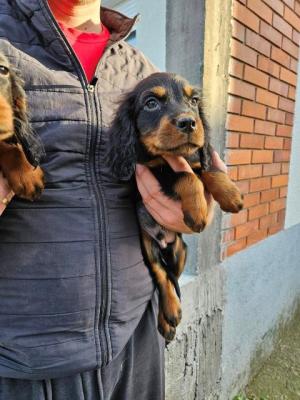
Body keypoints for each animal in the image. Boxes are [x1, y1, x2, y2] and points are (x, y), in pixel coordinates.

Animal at [106, 72, 243, 340]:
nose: (189, 123)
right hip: (147, 245)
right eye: (151, 103)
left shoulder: (196, 159)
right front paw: (198, 211)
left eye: (194, 100)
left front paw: (231, 194)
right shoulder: (151, 172)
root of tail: (165, 243)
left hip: (181, 251)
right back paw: (170, 314)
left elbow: (206, 169)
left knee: (172, 275)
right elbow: (186, 176)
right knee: (161, 275)